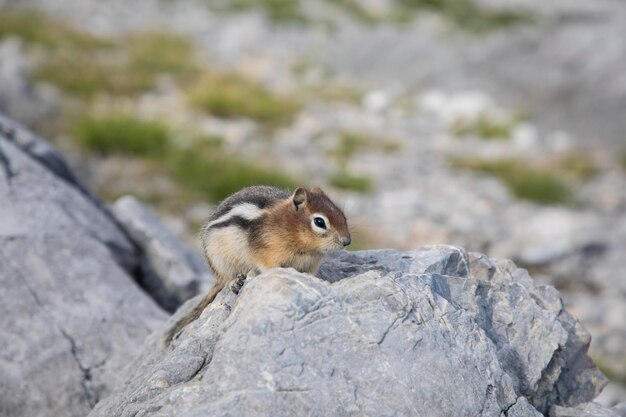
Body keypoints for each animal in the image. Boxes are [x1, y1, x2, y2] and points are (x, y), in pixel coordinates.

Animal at [163, 185, 348, 344]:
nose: (347, 241)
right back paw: (234, 282)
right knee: (226, 279)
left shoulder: (312, 263)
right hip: (221, 261)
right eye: (319, 222)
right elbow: (269, 266)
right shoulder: (265, 252)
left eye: (342, 214)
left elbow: (310, 274)